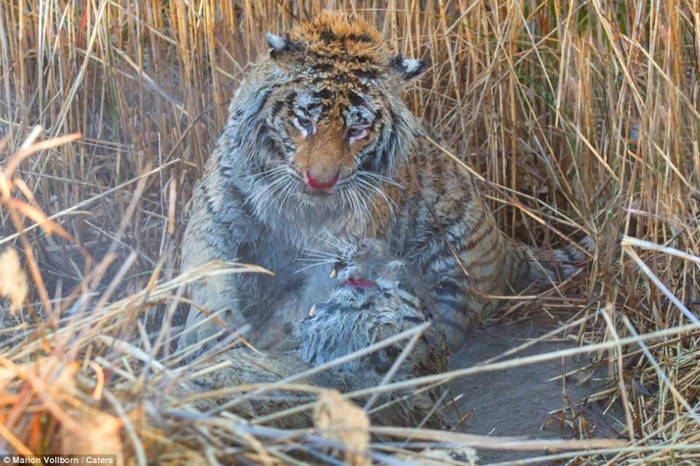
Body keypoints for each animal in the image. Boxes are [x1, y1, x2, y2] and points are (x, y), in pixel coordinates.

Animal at [179, 11, 592, 356]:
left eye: (356, 130)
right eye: (304, 120)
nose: (320, 180)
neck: (298, 205)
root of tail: (506, 245)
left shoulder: (341, 250)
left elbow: (303, 304)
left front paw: (269, 341)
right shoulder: (217, 211)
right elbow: (208, 272)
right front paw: (210, 335)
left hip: (450, 263)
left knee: (443, 328)